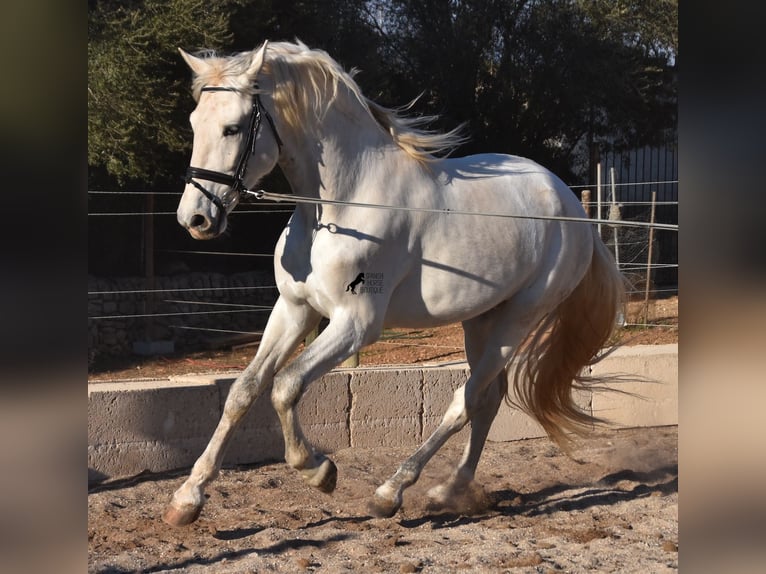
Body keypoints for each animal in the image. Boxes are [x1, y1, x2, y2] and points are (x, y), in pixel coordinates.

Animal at [165, 38, 628, 528]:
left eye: (232, 128)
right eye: (194, 123)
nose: (195, 218)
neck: (341, 205)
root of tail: (571, 207)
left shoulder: (356, 324)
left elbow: (286, 386)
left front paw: (319, 471)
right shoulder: (293, 308)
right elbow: (244, 390)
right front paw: (187, 499)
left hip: (519, 319)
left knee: (465, 401)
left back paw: (391, 492)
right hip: (481, 319)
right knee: (488, 398)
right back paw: (450, 490)